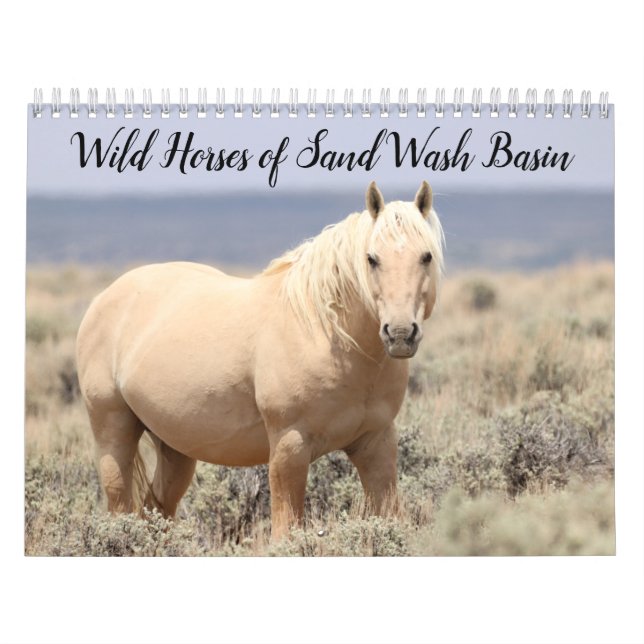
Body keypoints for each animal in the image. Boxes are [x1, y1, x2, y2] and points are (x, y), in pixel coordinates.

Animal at [76, 181, 445, 539]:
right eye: (371, 258)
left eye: (426, 256)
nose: (400, 333)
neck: (329, 336)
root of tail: (104, 297)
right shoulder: (289, 445)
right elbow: (286, 530)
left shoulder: (376, 443)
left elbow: (390, 517)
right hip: (113, 431)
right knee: (121, 507)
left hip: (174, 446)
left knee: (157, 510)